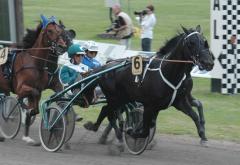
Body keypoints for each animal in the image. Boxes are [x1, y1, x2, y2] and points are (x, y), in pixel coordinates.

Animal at [84, 25, 214, 146]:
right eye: (191, 43)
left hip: (122, 98)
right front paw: (132, 132)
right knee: (109, 112)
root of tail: (104, 67)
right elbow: (145, 130)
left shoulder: (179, 101)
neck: (168, 72)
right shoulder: (149, 105)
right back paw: (116, 136)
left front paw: (203, 136)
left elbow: (195, 115)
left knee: (107, 111)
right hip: (114, 98)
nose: (208, 62)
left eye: (204, 41)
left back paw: (98, 129)